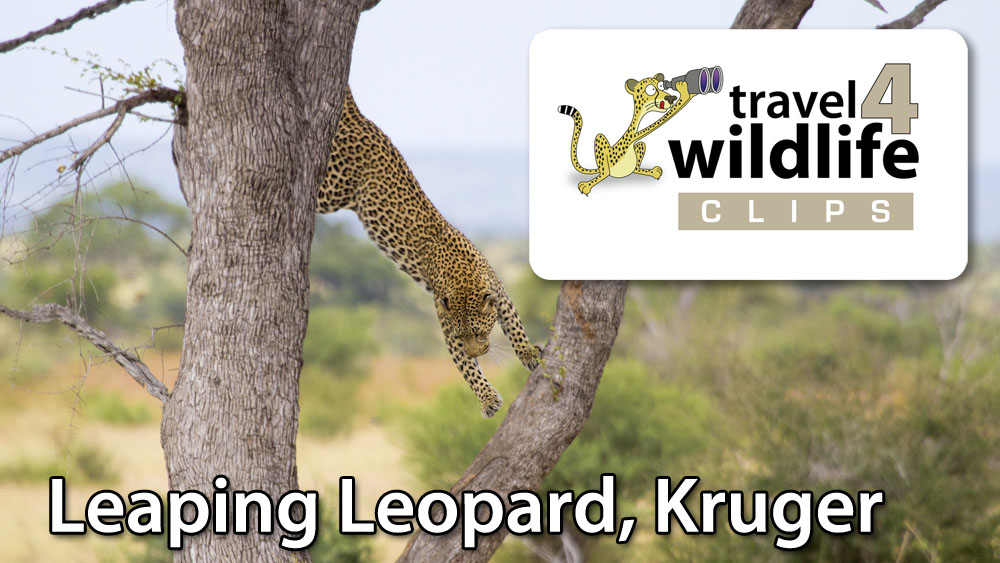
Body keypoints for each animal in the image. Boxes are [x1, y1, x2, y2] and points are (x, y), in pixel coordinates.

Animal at [317, 88, 540, 418]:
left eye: (478, 334)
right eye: (462, 337)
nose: (479, 351)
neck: (464, 276)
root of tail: (361, 119)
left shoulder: (499, 292)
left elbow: (514, 325)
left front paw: (527, 351)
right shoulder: (446, 322)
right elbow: (466, 368)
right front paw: (487, 398)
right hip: (332, 191)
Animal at [557, 76, 694, 195]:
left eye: (661, 86)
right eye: (651, 89)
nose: (671, 98)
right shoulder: (635, 135)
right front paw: (685, 90)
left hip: (639, 148)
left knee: (636, 162)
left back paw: (650, 171)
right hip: (602, 150)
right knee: (604, 171)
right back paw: (589, 183)